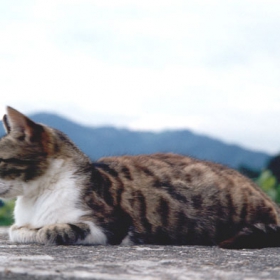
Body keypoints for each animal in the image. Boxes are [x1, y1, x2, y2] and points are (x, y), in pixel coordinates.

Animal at [0, 105, 280, 249]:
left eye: (0, 160)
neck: (35, 198)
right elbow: (18, 230)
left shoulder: (109, 225)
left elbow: (51, 231)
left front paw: (36, 230)